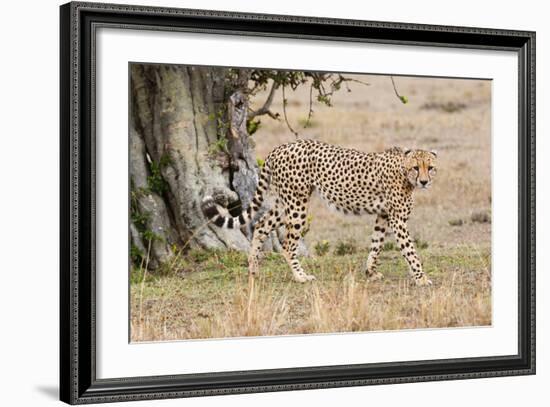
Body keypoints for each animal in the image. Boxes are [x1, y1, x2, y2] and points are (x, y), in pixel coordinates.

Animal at [203, 140, 440, 286]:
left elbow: (376, 245)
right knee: (288, 245)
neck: (403, 171)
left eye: (430, 167)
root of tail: (280, 147)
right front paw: (421, 277)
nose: (424, 181)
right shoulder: (397, 219)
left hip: (285, 202)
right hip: (297, 205)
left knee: (261, 225)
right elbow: (410, 250)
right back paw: (300, 276)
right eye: (416, 168)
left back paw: (253, 269)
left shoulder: (383, 216)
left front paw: (370, 272)